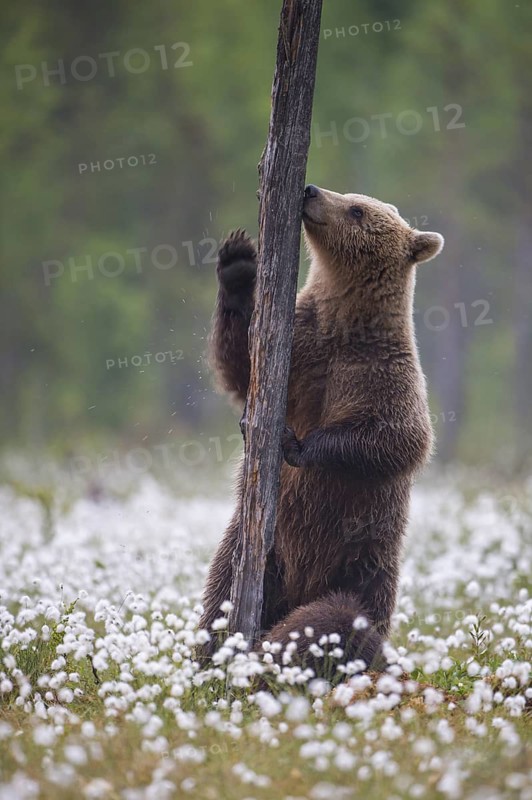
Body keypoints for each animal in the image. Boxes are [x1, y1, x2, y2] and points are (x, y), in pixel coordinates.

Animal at [199, 184, 444, 672]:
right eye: (349, 194)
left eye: (357, 209)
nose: (312, 190)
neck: (342, 323)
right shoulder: (298, 344)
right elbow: (240, 367)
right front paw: (237, 263)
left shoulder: (382, 373)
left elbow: (399, 439)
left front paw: (297, 443)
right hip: (255, 549)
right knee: (221, 597)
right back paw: (211, 655)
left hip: (367, 561)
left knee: (349, 611)